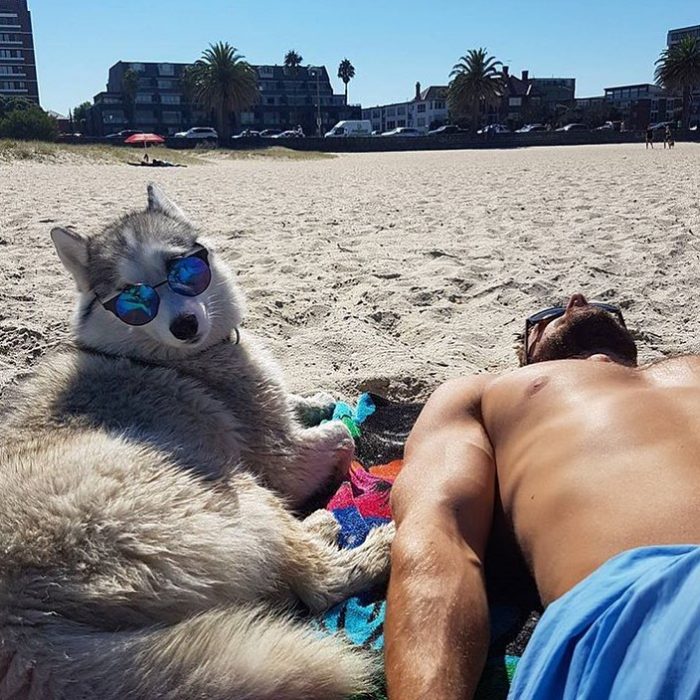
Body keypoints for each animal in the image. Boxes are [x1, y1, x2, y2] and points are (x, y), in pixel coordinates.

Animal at [0, 186, 394, 700]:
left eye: (184, 270)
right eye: (132, 298)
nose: (185, 325)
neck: (164, 356)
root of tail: (20, 623)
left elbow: (297, 402)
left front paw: (319, 397)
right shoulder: (281, 457)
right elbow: (339, 437)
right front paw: (338, 423)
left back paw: (321, 525)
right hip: (228, 492)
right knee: (316, 583)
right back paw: (367, 544)